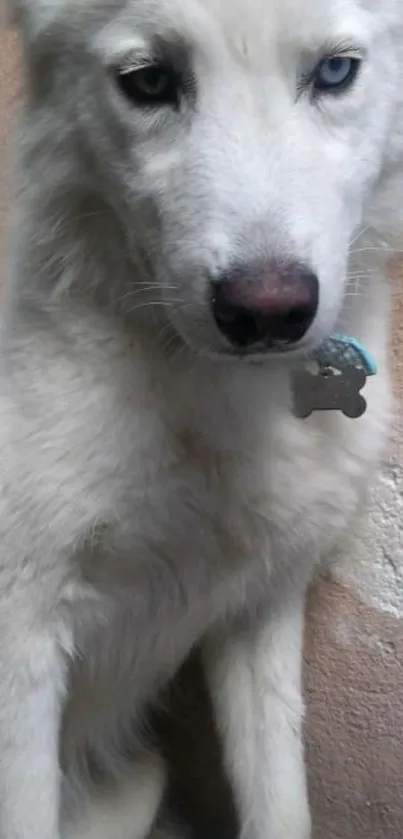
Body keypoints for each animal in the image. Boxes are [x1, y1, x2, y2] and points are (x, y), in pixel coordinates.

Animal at [2, 1, 403, 839]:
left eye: (334, 71)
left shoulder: (262, 603)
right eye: (150, 81)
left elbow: (280, 797)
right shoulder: (19, 635)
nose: (267, 313)